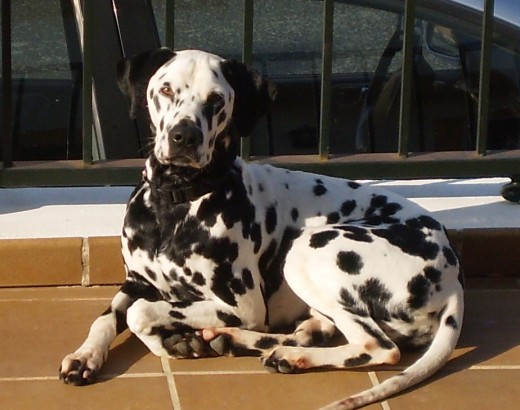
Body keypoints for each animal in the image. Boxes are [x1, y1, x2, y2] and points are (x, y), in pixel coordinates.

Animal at [60, 47, 464, 406]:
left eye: (215, 100)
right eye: (166, 90)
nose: (184, 136)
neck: (175, 205)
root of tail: (453, 275)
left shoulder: (242, 305)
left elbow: (140, 313)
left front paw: (169, 341)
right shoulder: (136, 281)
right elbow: (107, 318)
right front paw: (86, 355)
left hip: (308, 250)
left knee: (378, 347)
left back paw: (281, 353)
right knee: (316, 330)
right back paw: (246, 341)